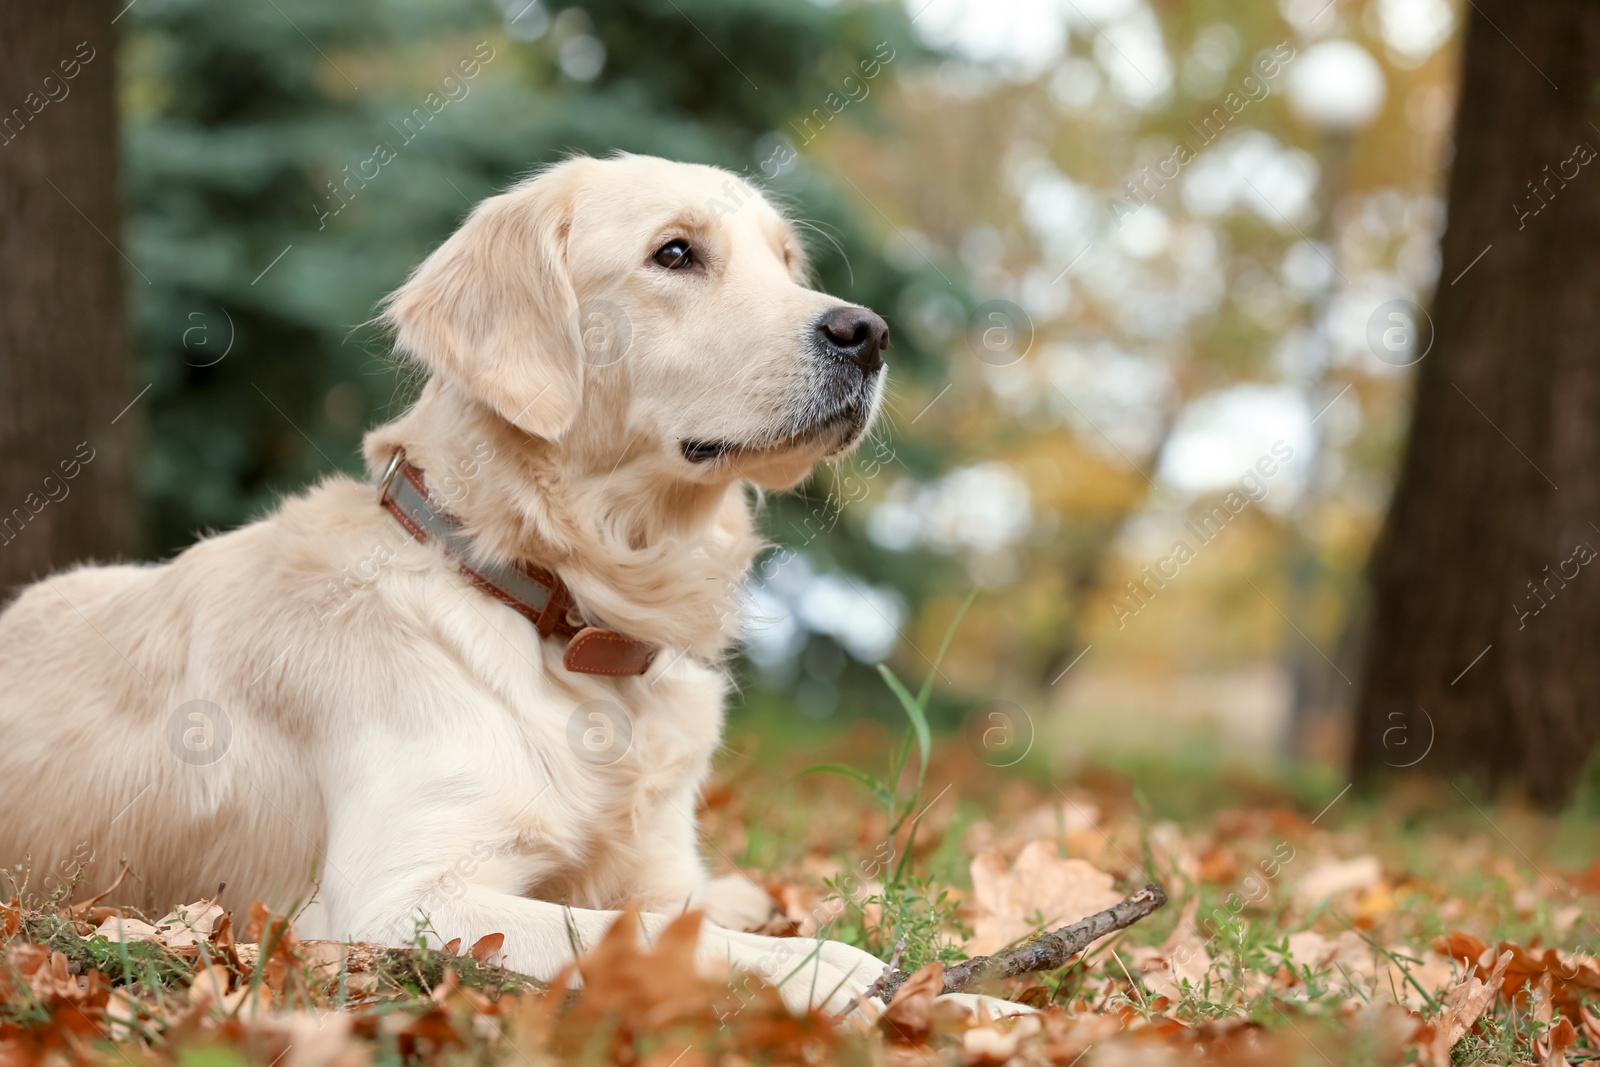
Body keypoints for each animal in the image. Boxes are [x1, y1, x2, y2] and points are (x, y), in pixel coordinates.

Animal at [0, 151, 1017, 1017]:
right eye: (675, 253)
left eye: (787, 260)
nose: (868, 332)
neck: (553, 602)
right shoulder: (393, 896)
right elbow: (657, 936)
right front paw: (840, 972)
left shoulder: (659, 868)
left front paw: (979, 1002)